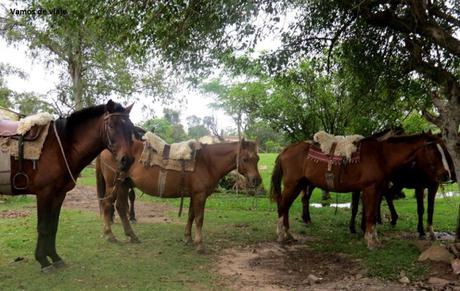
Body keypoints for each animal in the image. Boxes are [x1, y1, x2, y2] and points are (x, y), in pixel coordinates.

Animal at [1, 101, 135, 274]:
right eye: (111, 126)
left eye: (130, 127)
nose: (127, 160)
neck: (61, 147)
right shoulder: (44, 193)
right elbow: (43, 227)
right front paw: (43, 261)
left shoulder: (59, 194)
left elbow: (53, 226)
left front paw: (55, 258)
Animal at [96, 139, 262, 253]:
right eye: (245, 159)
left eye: (257, 158)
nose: (257, 180)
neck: (207, 162)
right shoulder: (200, 196)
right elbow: (199, 219)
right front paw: (200, 245)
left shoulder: (194, 195)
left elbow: (191, 216)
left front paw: (188, 238)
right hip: (114, 184)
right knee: (107, 205)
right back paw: (110, 235)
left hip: (124, 185)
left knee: (120, 207)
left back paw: (132, 236)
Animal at [270, 132, 450, 249]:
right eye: (435, 151)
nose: (446, 174)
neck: (381, 156)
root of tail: (285, 150)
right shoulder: (369, 189)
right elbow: (369, 214)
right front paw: (370, 241)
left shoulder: (377, 189)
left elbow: (371, 214)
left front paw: (373, 238)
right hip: (293, 184)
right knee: (282, 206)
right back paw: (281, 235)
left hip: (300, 184)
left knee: (286, 206)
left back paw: (289, 234)